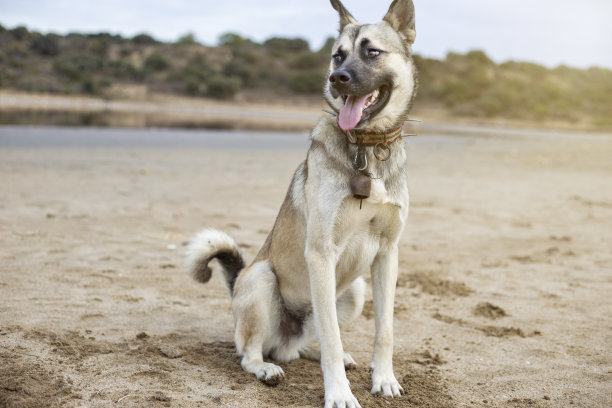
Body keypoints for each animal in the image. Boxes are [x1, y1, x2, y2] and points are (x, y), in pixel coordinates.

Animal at [185, 1, 416, 406]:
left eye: (372, 52)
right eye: (337, 55)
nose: (337, 78)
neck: (367, 148)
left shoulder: (388, 254)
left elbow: (383, 330)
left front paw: (384, 378)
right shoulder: (321, 254)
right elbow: (331, 336)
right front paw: (339, 393)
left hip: (355, 290)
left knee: (307, 342)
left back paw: (316, 352)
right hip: (262, 279)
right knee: (251, 351)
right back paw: (266, 368)